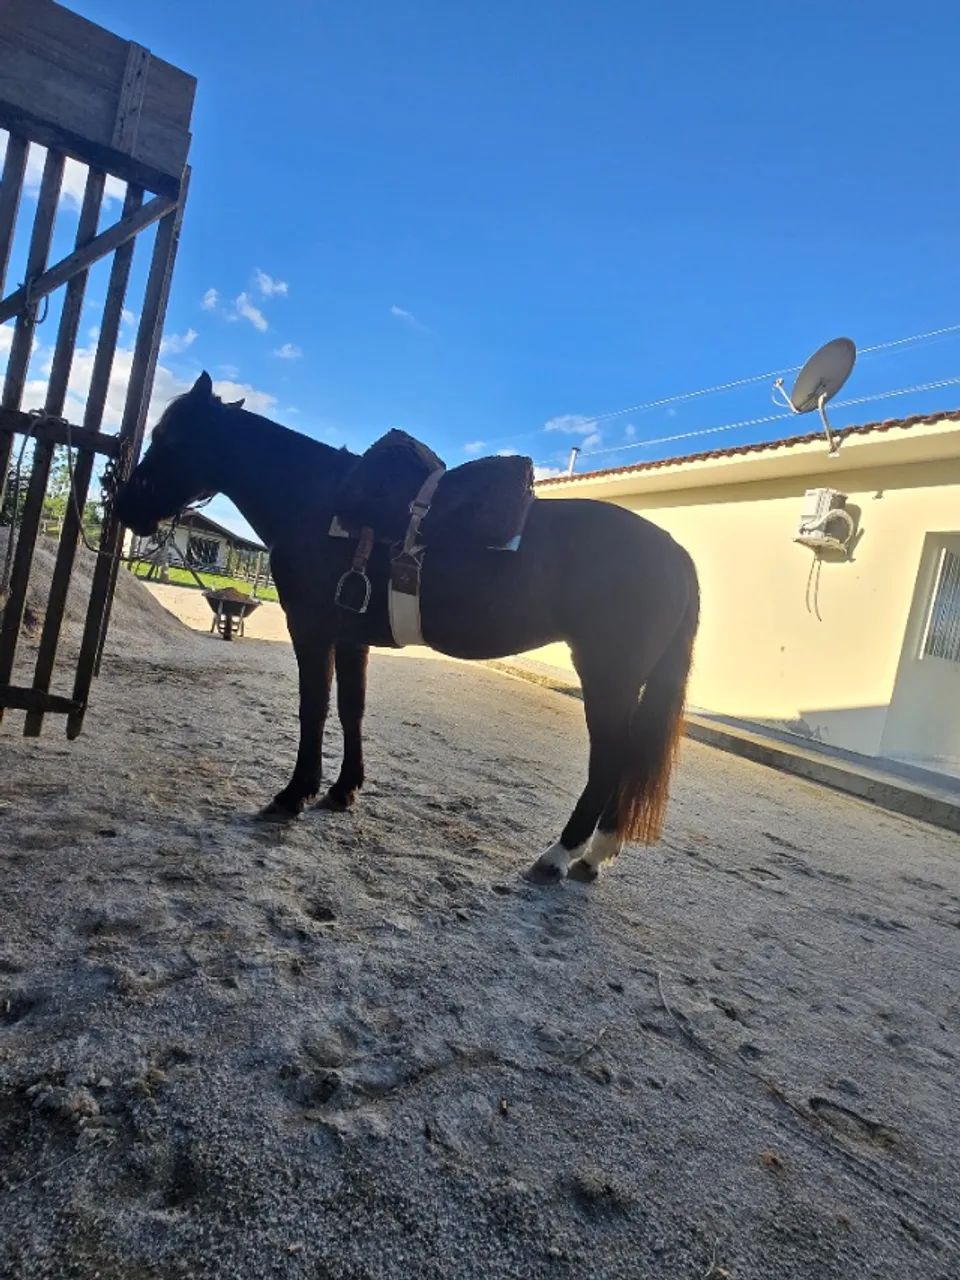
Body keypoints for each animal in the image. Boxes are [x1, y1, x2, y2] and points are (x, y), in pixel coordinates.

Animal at [115, 372, 699, 883]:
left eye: (171, 438)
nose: (123, 504)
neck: (316, 497)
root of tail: (676, 553)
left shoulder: (311, 628)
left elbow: (313, 708)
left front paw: (295, 793)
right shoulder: (350, 638)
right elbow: (351, 709)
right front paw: (343, 790)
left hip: (606, 675)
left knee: (611, 757)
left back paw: (560, 854)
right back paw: (595, 854)